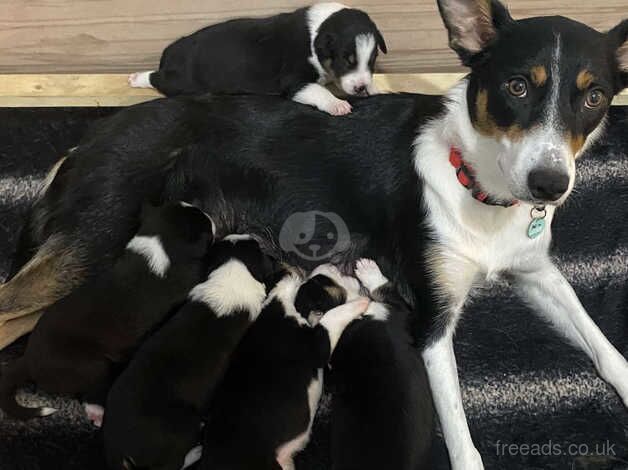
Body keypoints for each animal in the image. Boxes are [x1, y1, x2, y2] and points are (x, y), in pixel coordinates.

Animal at [200, 264, 368, 470]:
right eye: (321, 280)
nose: (328, 265)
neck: (288, 302)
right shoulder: (316, 344)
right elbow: (332, 316)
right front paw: (361, 303)